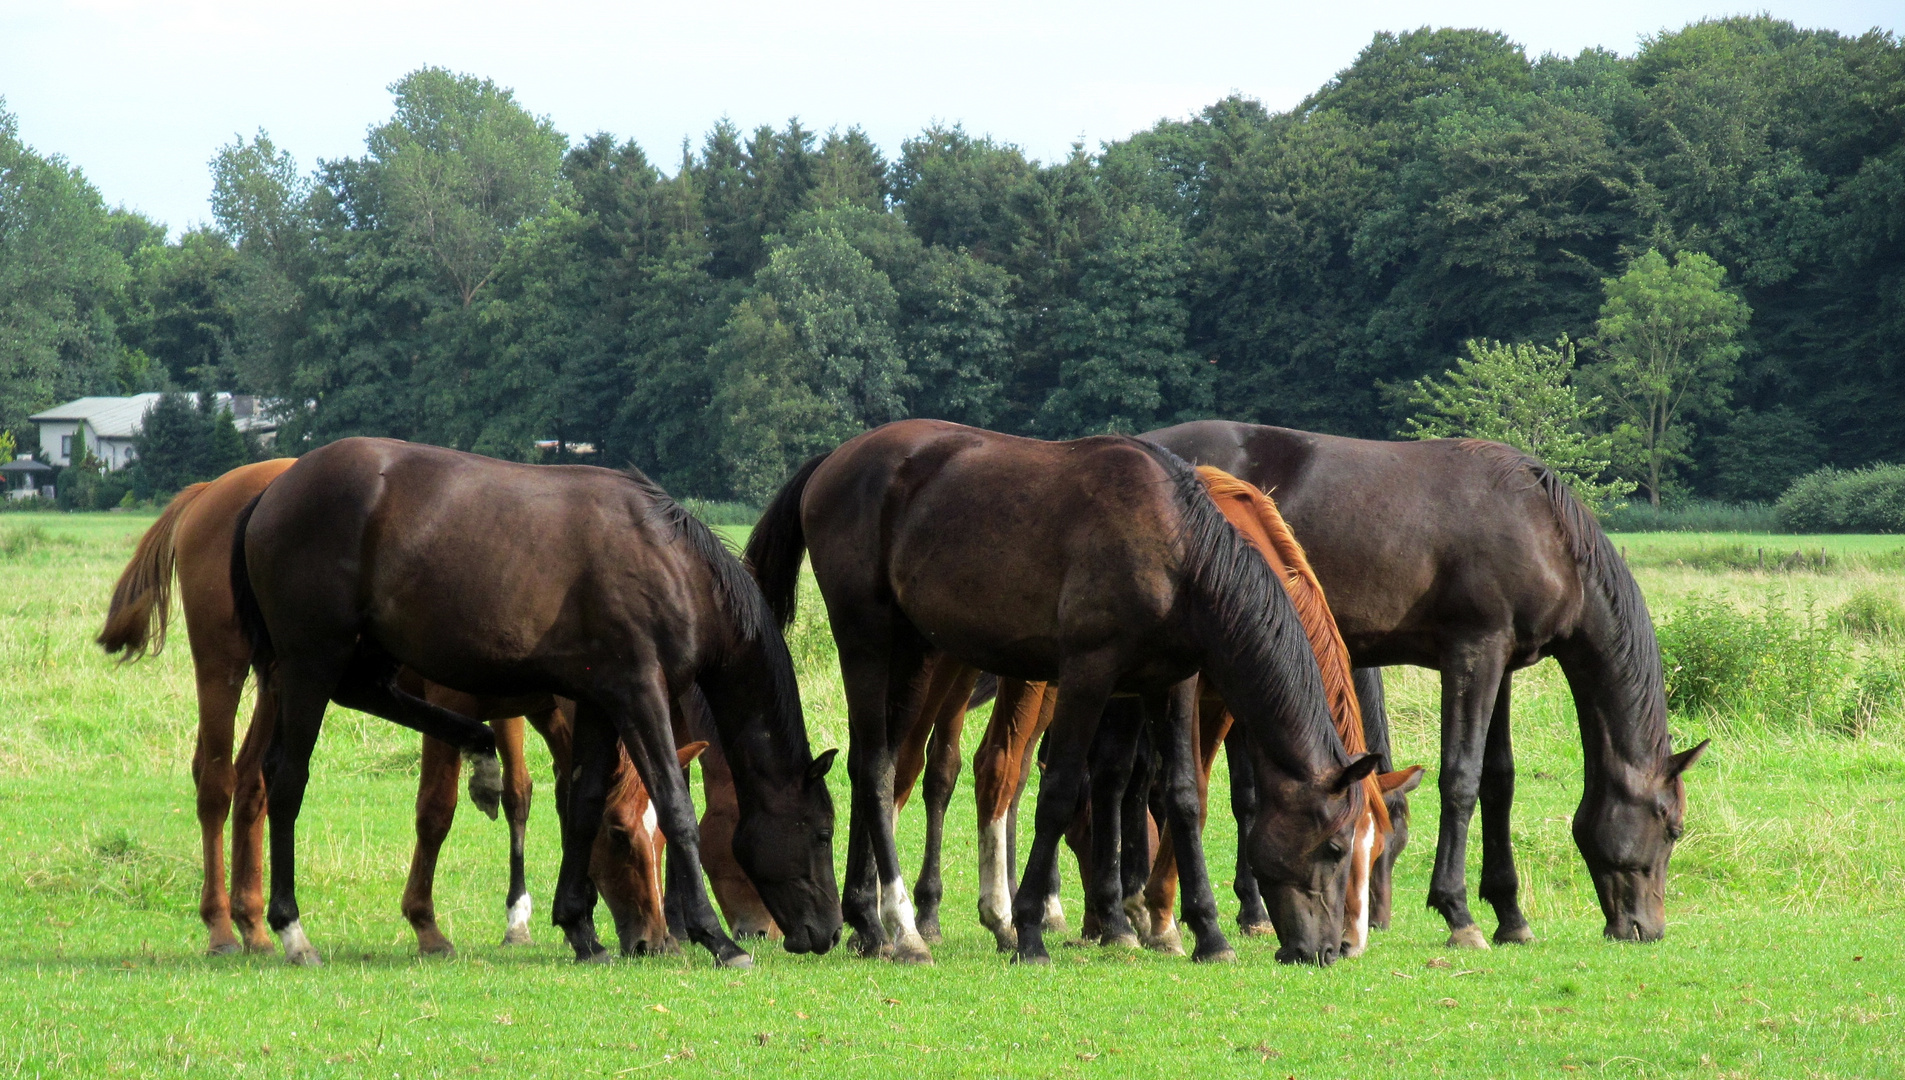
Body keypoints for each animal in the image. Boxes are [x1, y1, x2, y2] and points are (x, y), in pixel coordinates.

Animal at [98, 460, 773, 960]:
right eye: (622, 836)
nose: (655, 941)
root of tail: (218, 491)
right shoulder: (459, 698)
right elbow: (436, 811)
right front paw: (427, 924)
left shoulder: (528, 707)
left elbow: (533, 795)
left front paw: (528, 918)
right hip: (232, 665)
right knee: (218, 780)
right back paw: (222, 925)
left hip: (282, 679)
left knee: (253, 781)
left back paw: (255, 924)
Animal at [230, 436, 842, 967]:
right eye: (822, 833)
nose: (830, 932)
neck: (671, 569)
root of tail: (274, 490)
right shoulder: (640, 693)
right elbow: (675, 805)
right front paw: (716, 939)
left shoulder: (601, 699)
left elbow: (585, 801)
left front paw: (580, 930)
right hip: (312, 663)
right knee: (286, 780)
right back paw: (291, 931)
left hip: (359, 659)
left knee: (367, 699)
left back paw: (480, 751)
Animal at [742, 419, 1371, 967]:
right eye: (1336, 848)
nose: (1325, 950)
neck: (1177, 548)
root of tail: (836, 459)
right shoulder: (1088, 675)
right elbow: (1061, 790)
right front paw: (1029, 932)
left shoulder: (1173, 683)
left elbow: (1184, 796)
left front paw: (1208, 934)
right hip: (866, 642)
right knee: (874, 768)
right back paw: (899, 927)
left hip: (915, 654)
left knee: (884, 766)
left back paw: (867, 923)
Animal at [1143, 422, 1714, 944]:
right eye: (1672, 826)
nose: (1646, 928)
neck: (1543, 529)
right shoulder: (1472, 653)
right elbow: (1460, 779)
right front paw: (1458, 911)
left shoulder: (1503, 663)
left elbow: (1499, 780)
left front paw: (1510, 915)